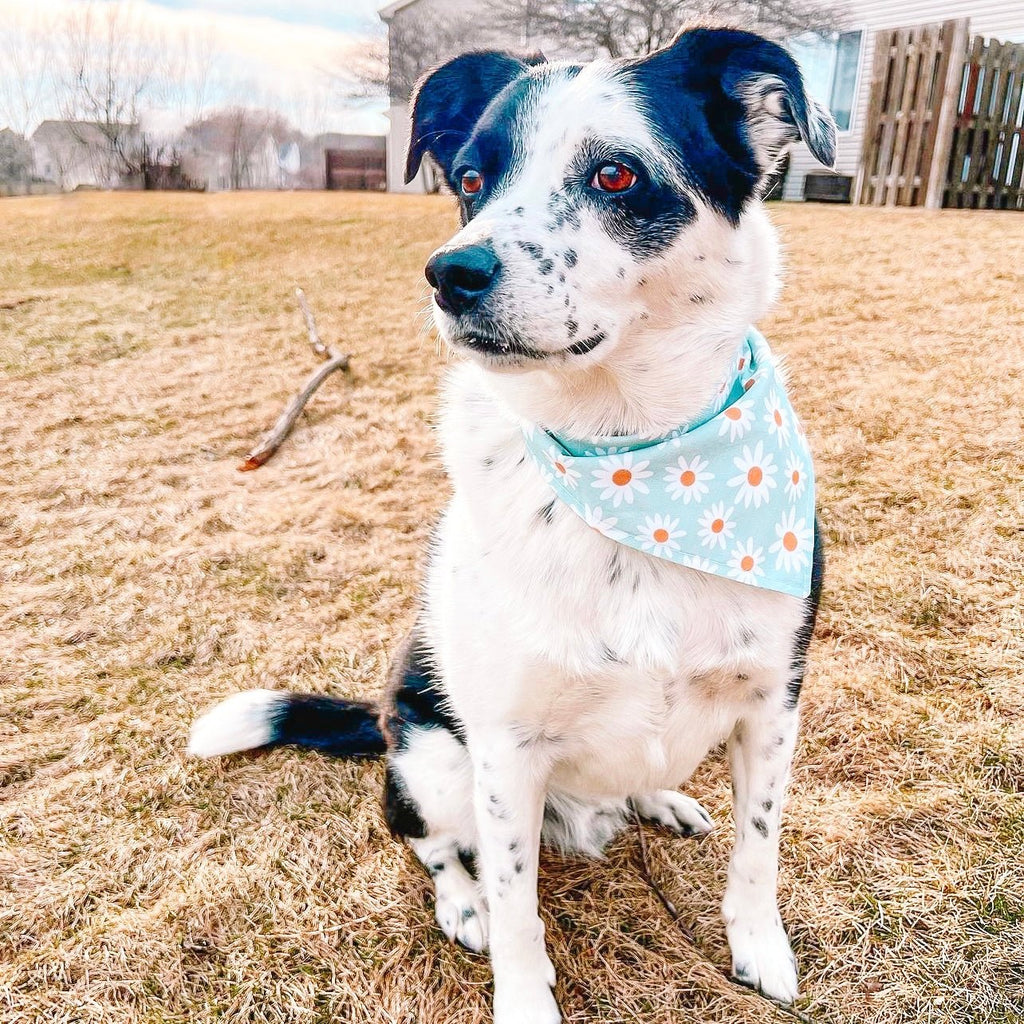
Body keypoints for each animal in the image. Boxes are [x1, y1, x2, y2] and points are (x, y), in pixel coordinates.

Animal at [188, 25, 835, 1024]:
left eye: (616, 173)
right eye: (467, 178)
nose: (451, 273)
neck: (635, 463)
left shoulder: (773, 701)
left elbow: (758, 848)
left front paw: (760, 948)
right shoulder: (504, 754)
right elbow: (517, 903)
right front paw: (522, 991)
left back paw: (660, 799)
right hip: (432, 758)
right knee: (423, 839)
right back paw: (461, 902)